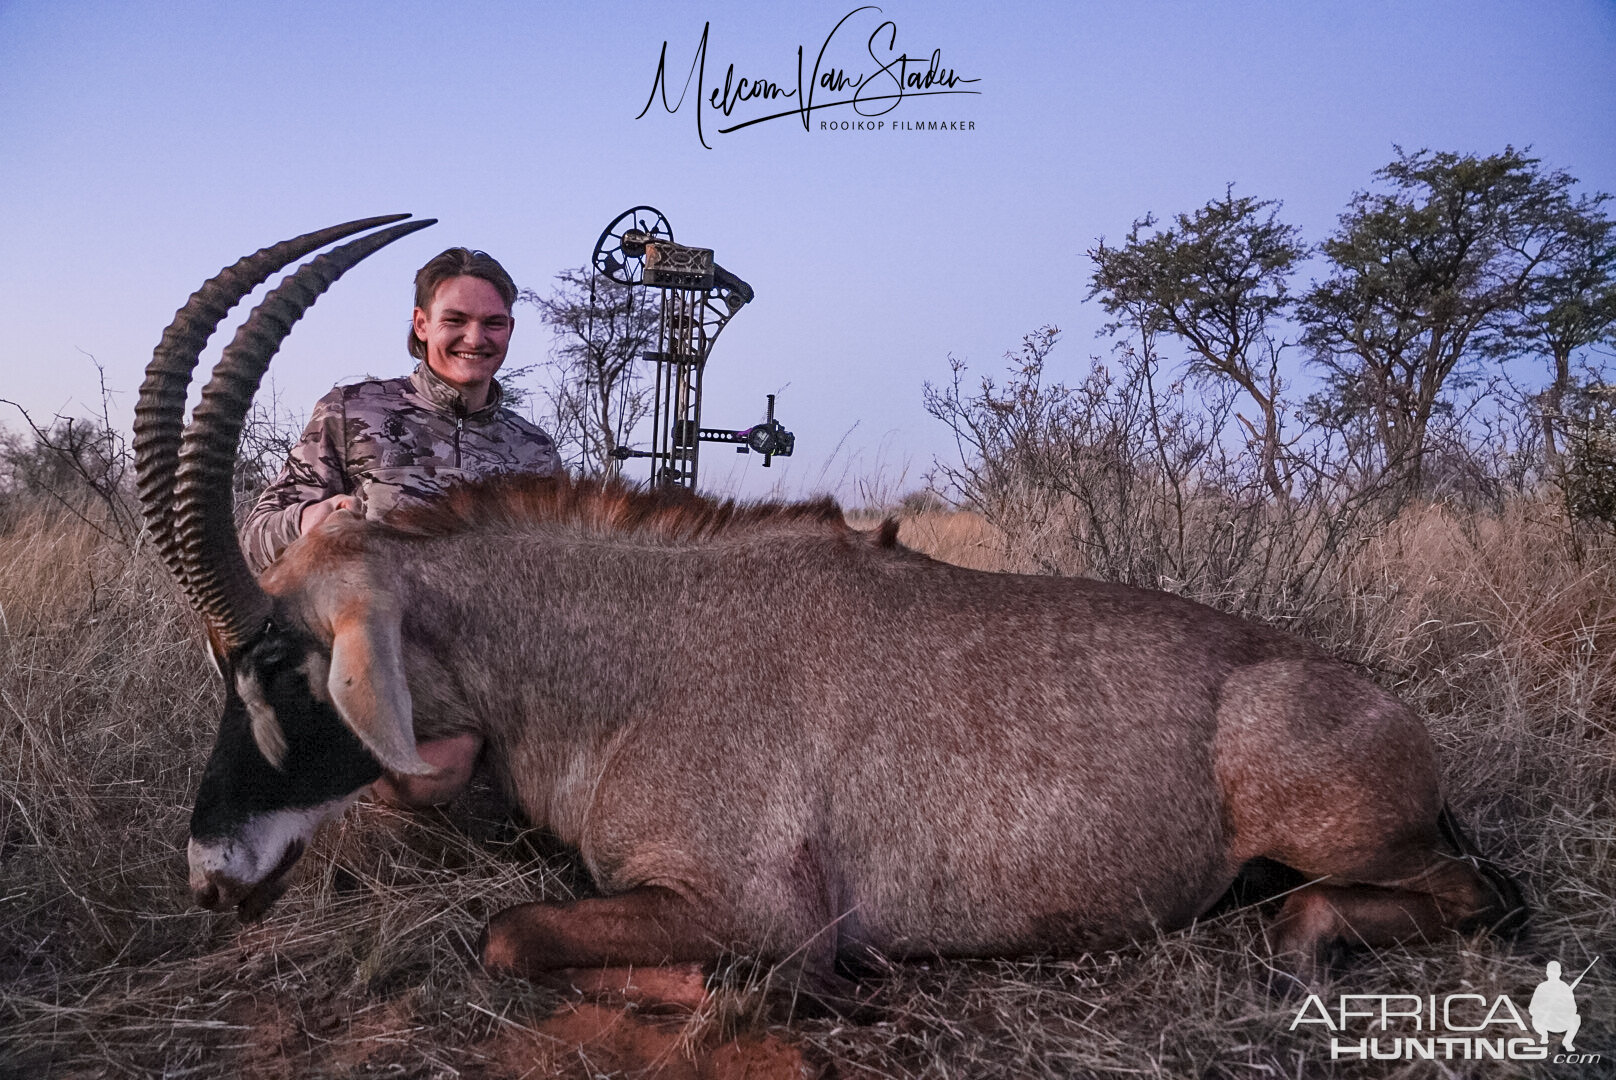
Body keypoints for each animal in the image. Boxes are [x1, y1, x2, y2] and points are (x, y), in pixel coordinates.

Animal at [132, 216, 1519, 989]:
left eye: (287, 669)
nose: (208, 880)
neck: (622, 660)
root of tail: (1371, 703)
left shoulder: (754, 908)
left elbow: (517, 936)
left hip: (1341, 829)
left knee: (1472, 894)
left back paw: (1303, 940)